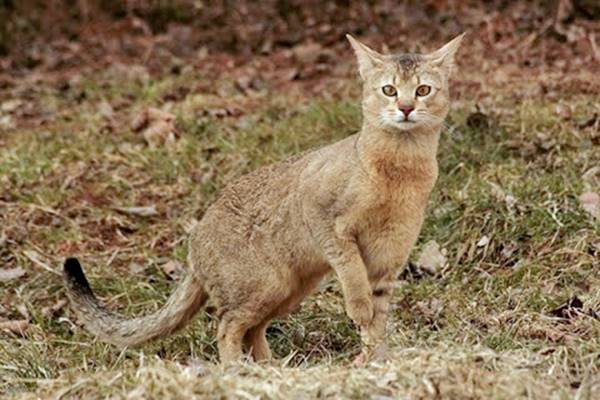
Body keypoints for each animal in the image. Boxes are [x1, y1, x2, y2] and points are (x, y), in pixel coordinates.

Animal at [64, 32, 464, 364]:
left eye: (423, 90)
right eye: (389, 90)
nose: (406, 109)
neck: (398, 173)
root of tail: (193, 247)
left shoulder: (387, 260)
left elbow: (377, 323)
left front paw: (373, 361)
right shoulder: (320, 214)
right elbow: (351, 269)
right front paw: (359, 310)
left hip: (289, 290)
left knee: (251, 328)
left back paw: (269, 368)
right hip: (266, 285)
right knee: (226, 325)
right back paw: (236, 371)